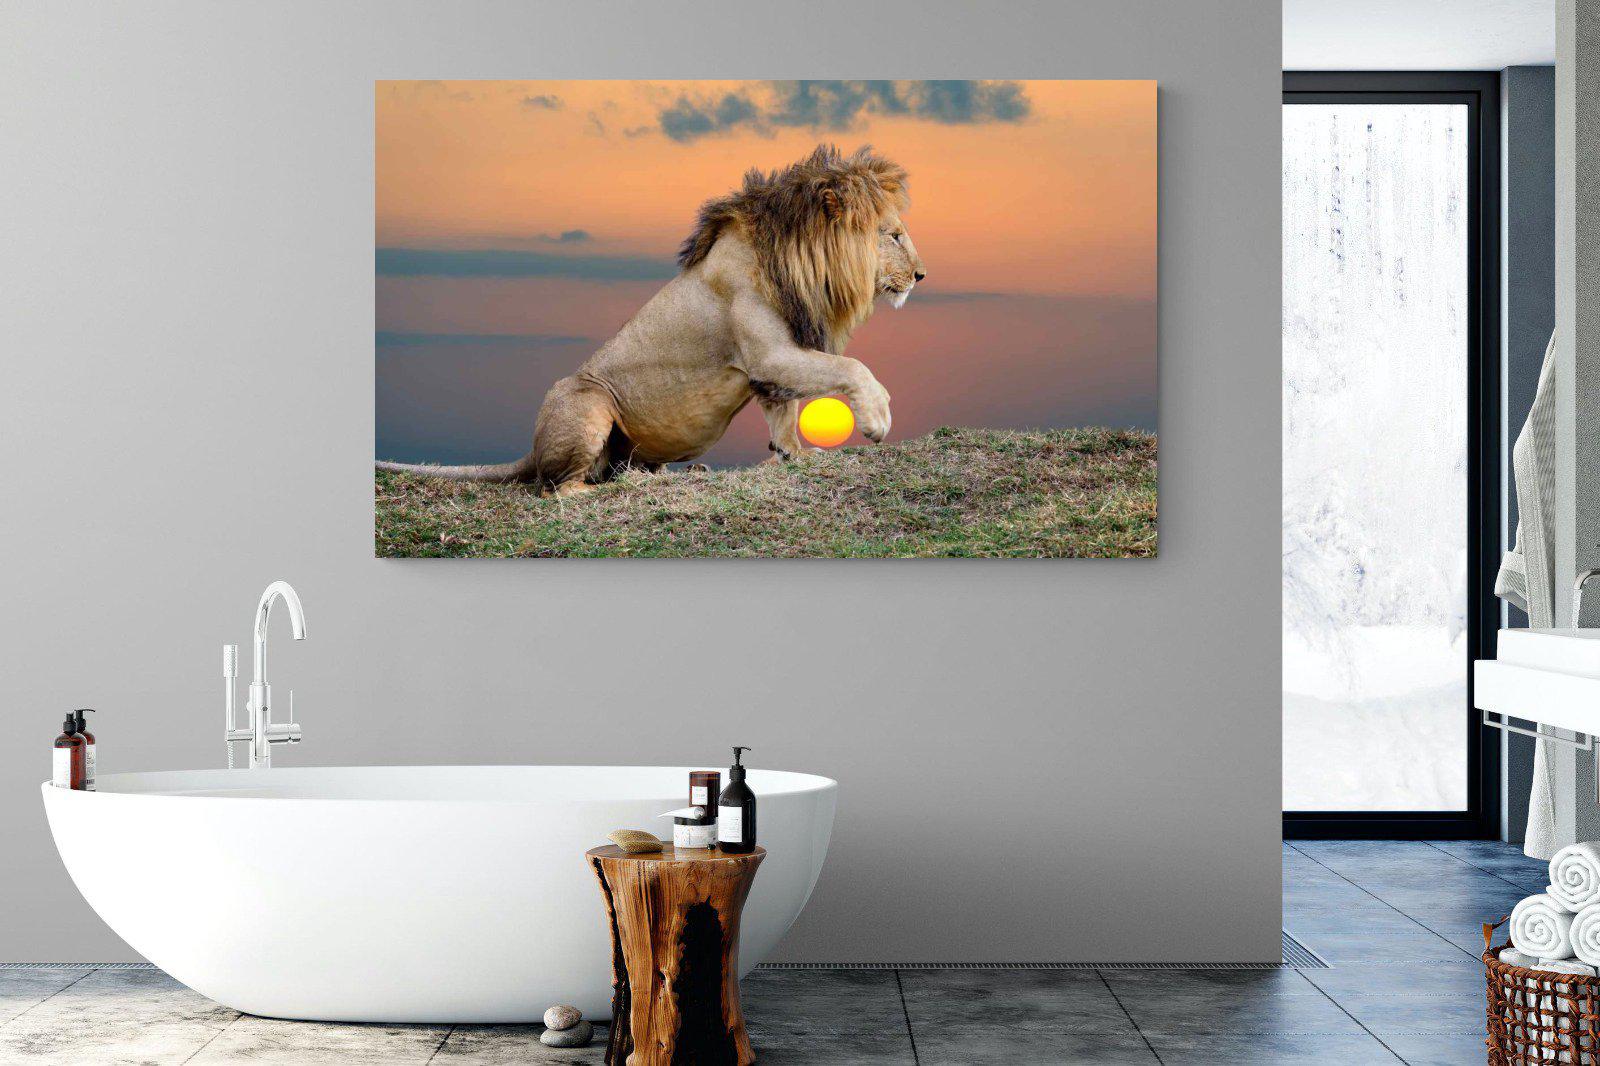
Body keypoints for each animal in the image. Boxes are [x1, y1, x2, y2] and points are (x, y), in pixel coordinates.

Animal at [375, 144, 926, 496]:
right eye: (894, 235)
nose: (922, 275)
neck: (801, 263)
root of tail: (531, 449)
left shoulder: (773, 363)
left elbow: (784, 412)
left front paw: (796, 455)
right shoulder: (771, 352)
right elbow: (851, 368)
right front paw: (876, 419)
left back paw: (657, 474)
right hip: (587, 398)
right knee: (558, 488)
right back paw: (610, 488)